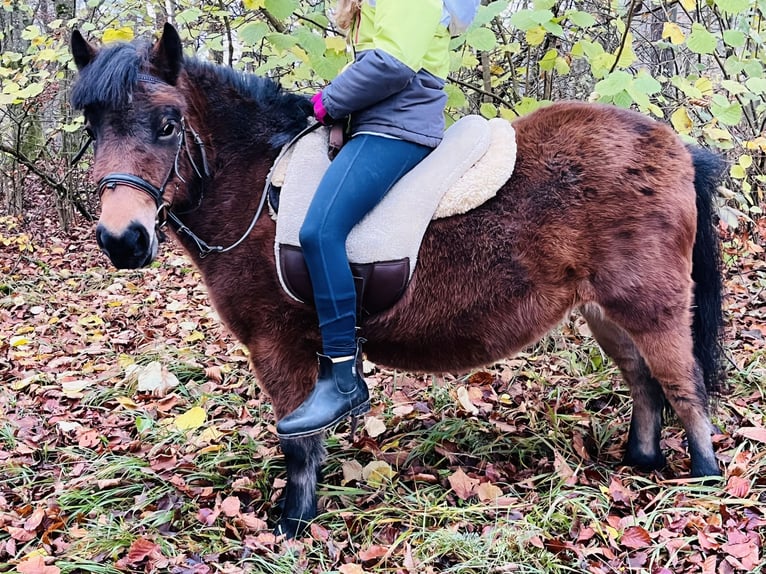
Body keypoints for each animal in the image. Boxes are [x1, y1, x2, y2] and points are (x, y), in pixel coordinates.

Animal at [70, 24, 728, 540]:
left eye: (167, 124)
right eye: (93, 128)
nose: (122, 239)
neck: (256, 186)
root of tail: (676, 145)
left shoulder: (275, 342)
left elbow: (298, 440)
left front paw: (294, 521)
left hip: (652, 305)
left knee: (683, 383)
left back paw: (706, 478)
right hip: (604, 310)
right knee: (643, 379)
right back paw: (641, 460)